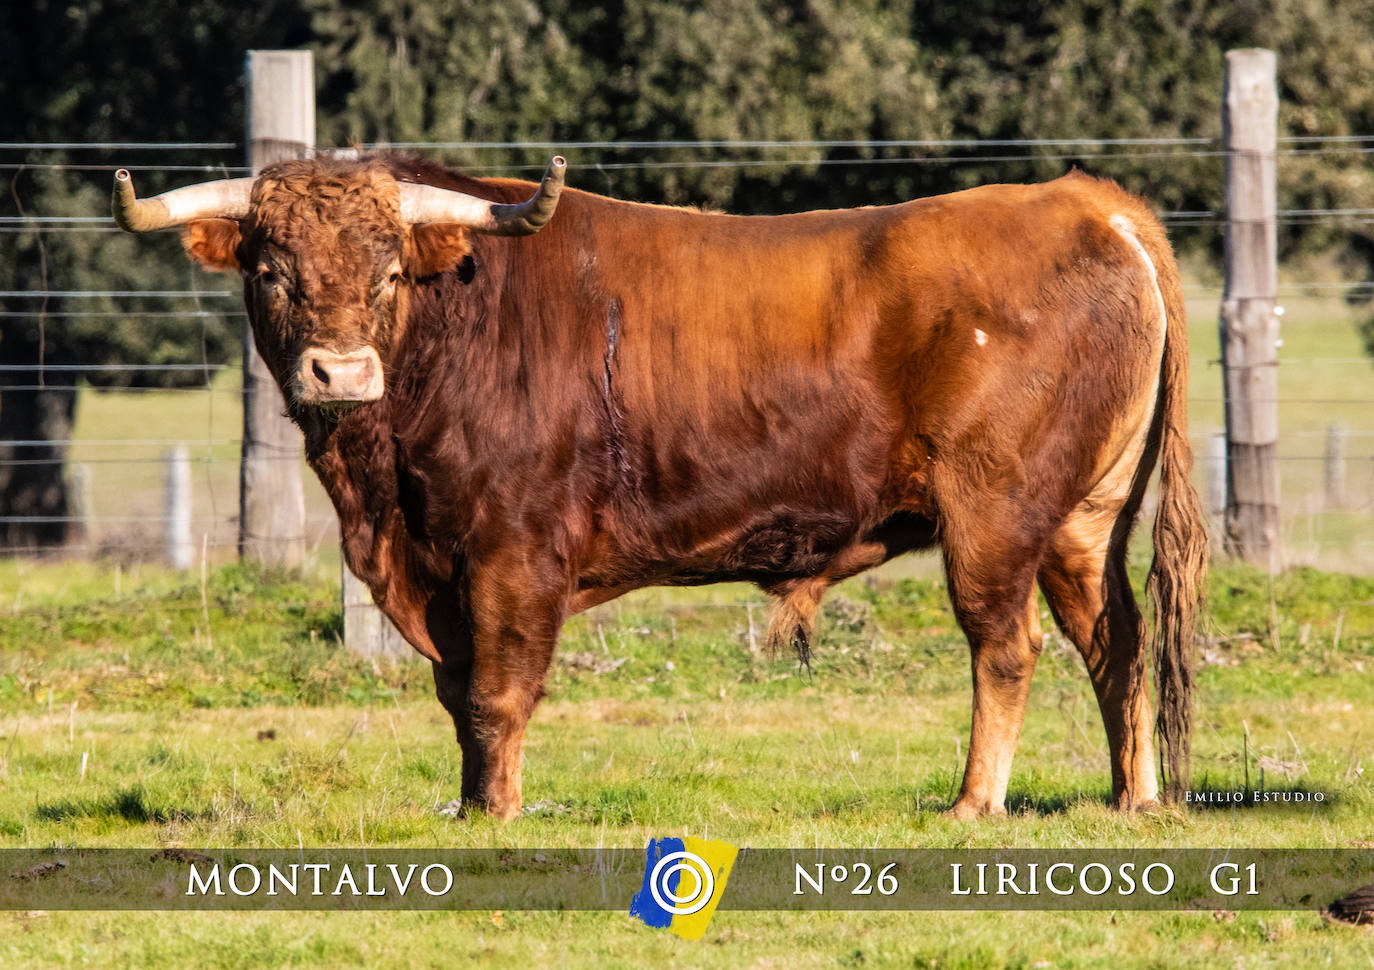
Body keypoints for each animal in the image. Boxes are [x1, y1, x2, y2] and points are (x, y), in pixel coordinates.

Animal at [109, 156, 1203, 813]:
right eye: (272, 271)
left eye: (387, 271)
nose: (339, 373)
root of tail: (1085, 199)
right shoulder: (446, 566)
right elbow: (458, 693)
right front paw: (469, 804)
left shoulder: (512, 554)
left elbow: (496, 694)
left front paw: (498, 812)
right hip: (1085, 522)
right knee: (1116, 640)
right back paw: (1131, 797)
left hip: (994, 516)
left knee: (1006, 648)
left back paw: (976, 799)